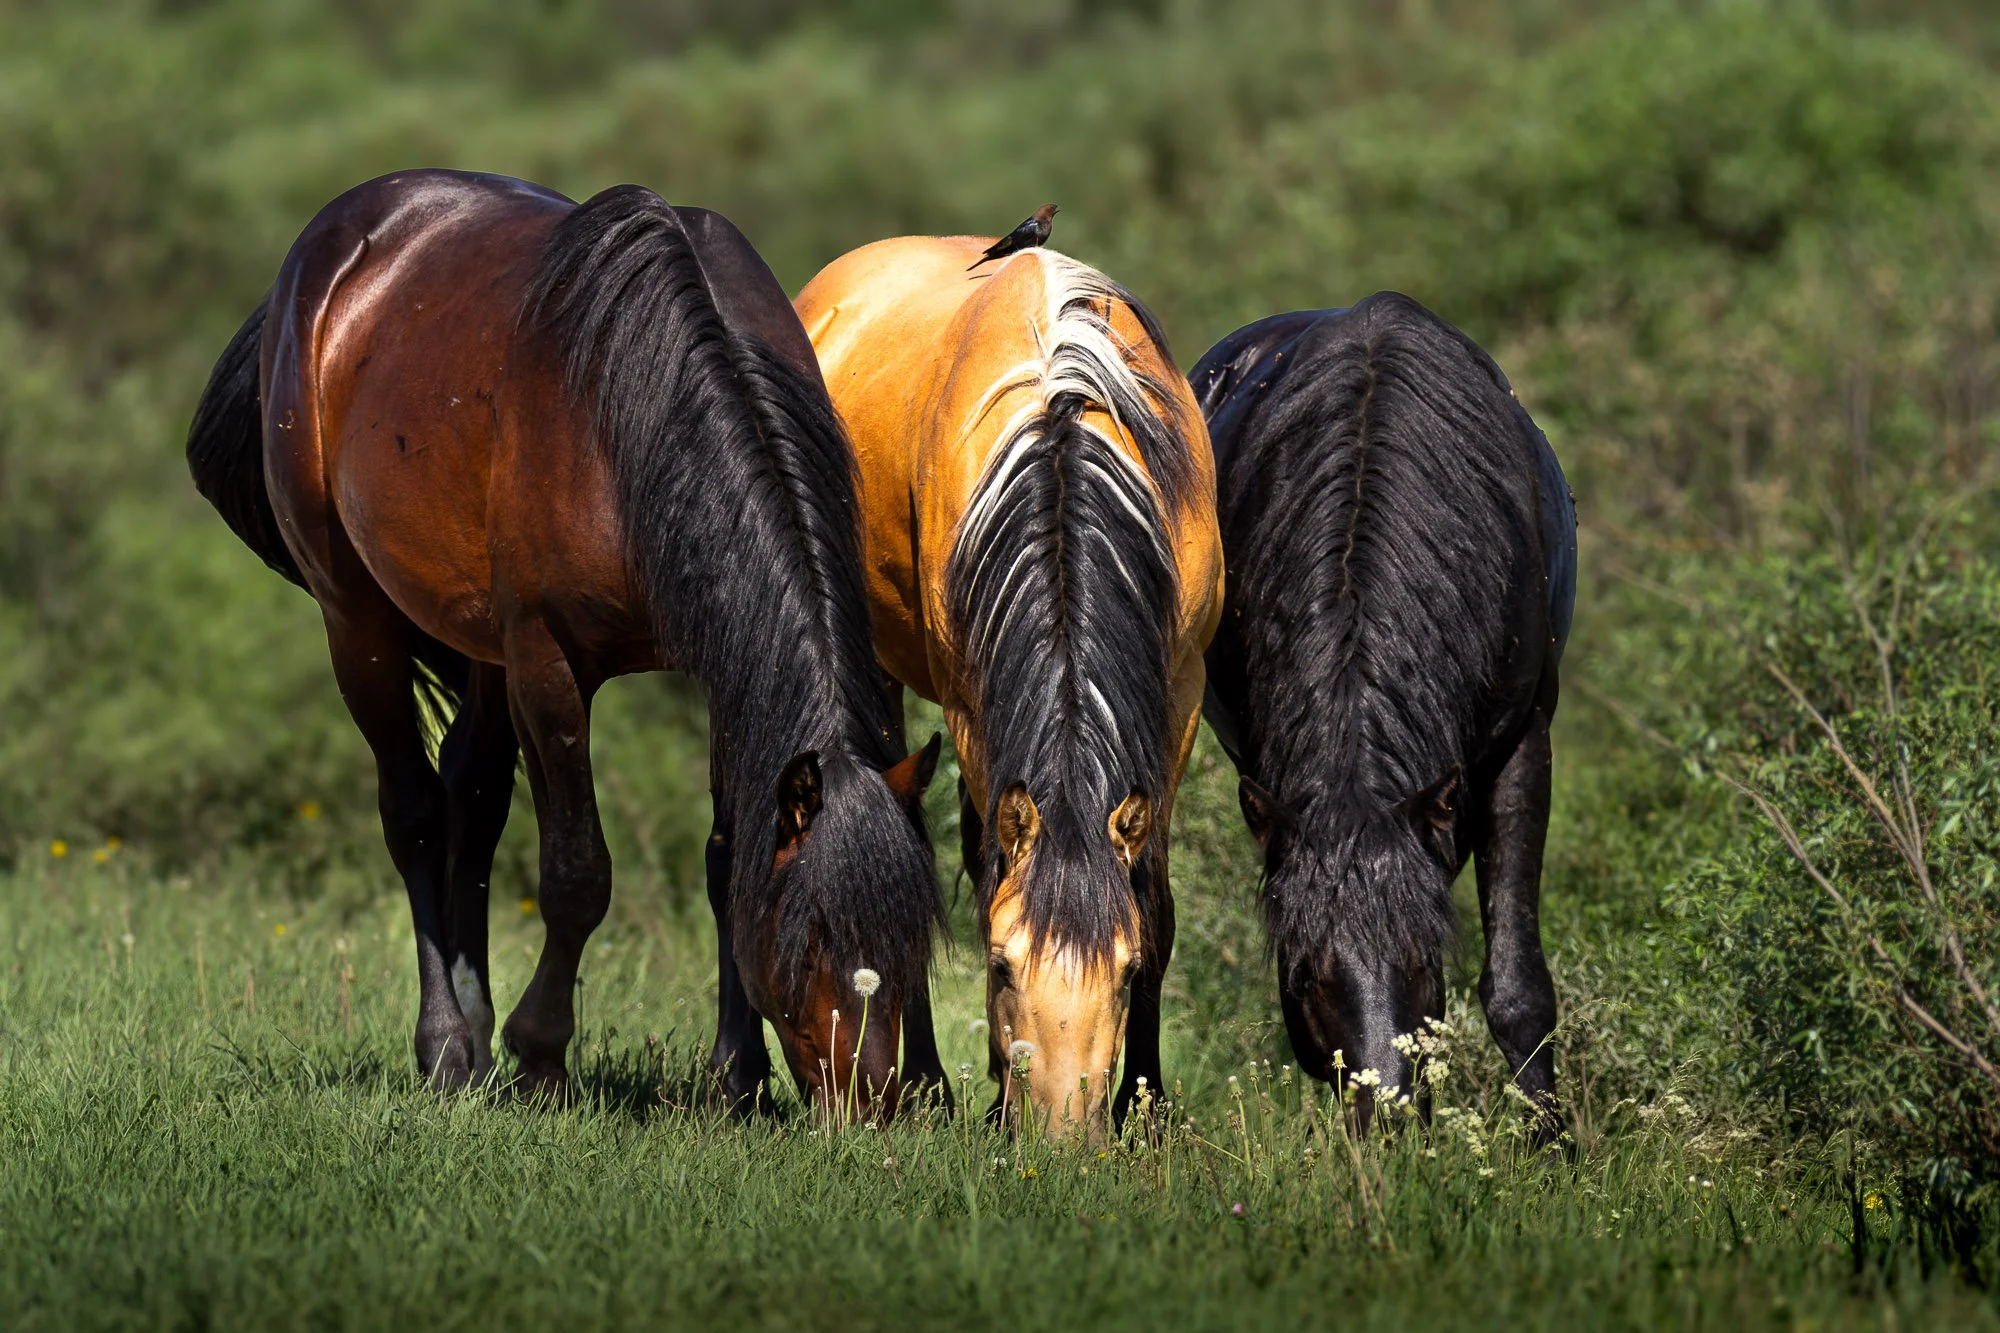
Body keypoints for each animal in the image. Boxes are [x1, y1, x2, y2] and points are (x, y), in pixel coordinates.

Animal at [185, 170, 947, 1118]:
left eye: (910, 934)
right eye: (811, 938)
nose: (871, 1103)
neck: (645, 410)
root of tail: (331, 245)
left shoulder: (713, 665)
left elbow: (726, 852)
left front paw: (736, 1076)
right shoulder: (550, 663)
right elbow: (578, 871)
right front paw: (542, 1056)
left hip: (480, 642)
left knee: (470, 797)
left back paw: (474, 1038)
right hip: (356, 619)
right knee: (413, 812)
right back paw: (448, 1047)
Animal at [795, 237, 1222, 1134]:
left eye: (1126, 971)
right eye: (999, 965)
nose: (1061, 1140)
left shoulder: (1181, 690)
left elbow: (1157, 900)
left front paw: (1146, 1105)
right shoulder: (968, 705)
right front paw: (997, 1096)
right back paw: (926, 1080)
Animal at [1191, 293, 1575, 1139]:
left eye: (1423, 958)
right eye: (1309, 974)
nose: (1390, 1124)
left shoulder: (1522, 741)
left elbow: (1519, 988)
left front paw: (1557, 1148)